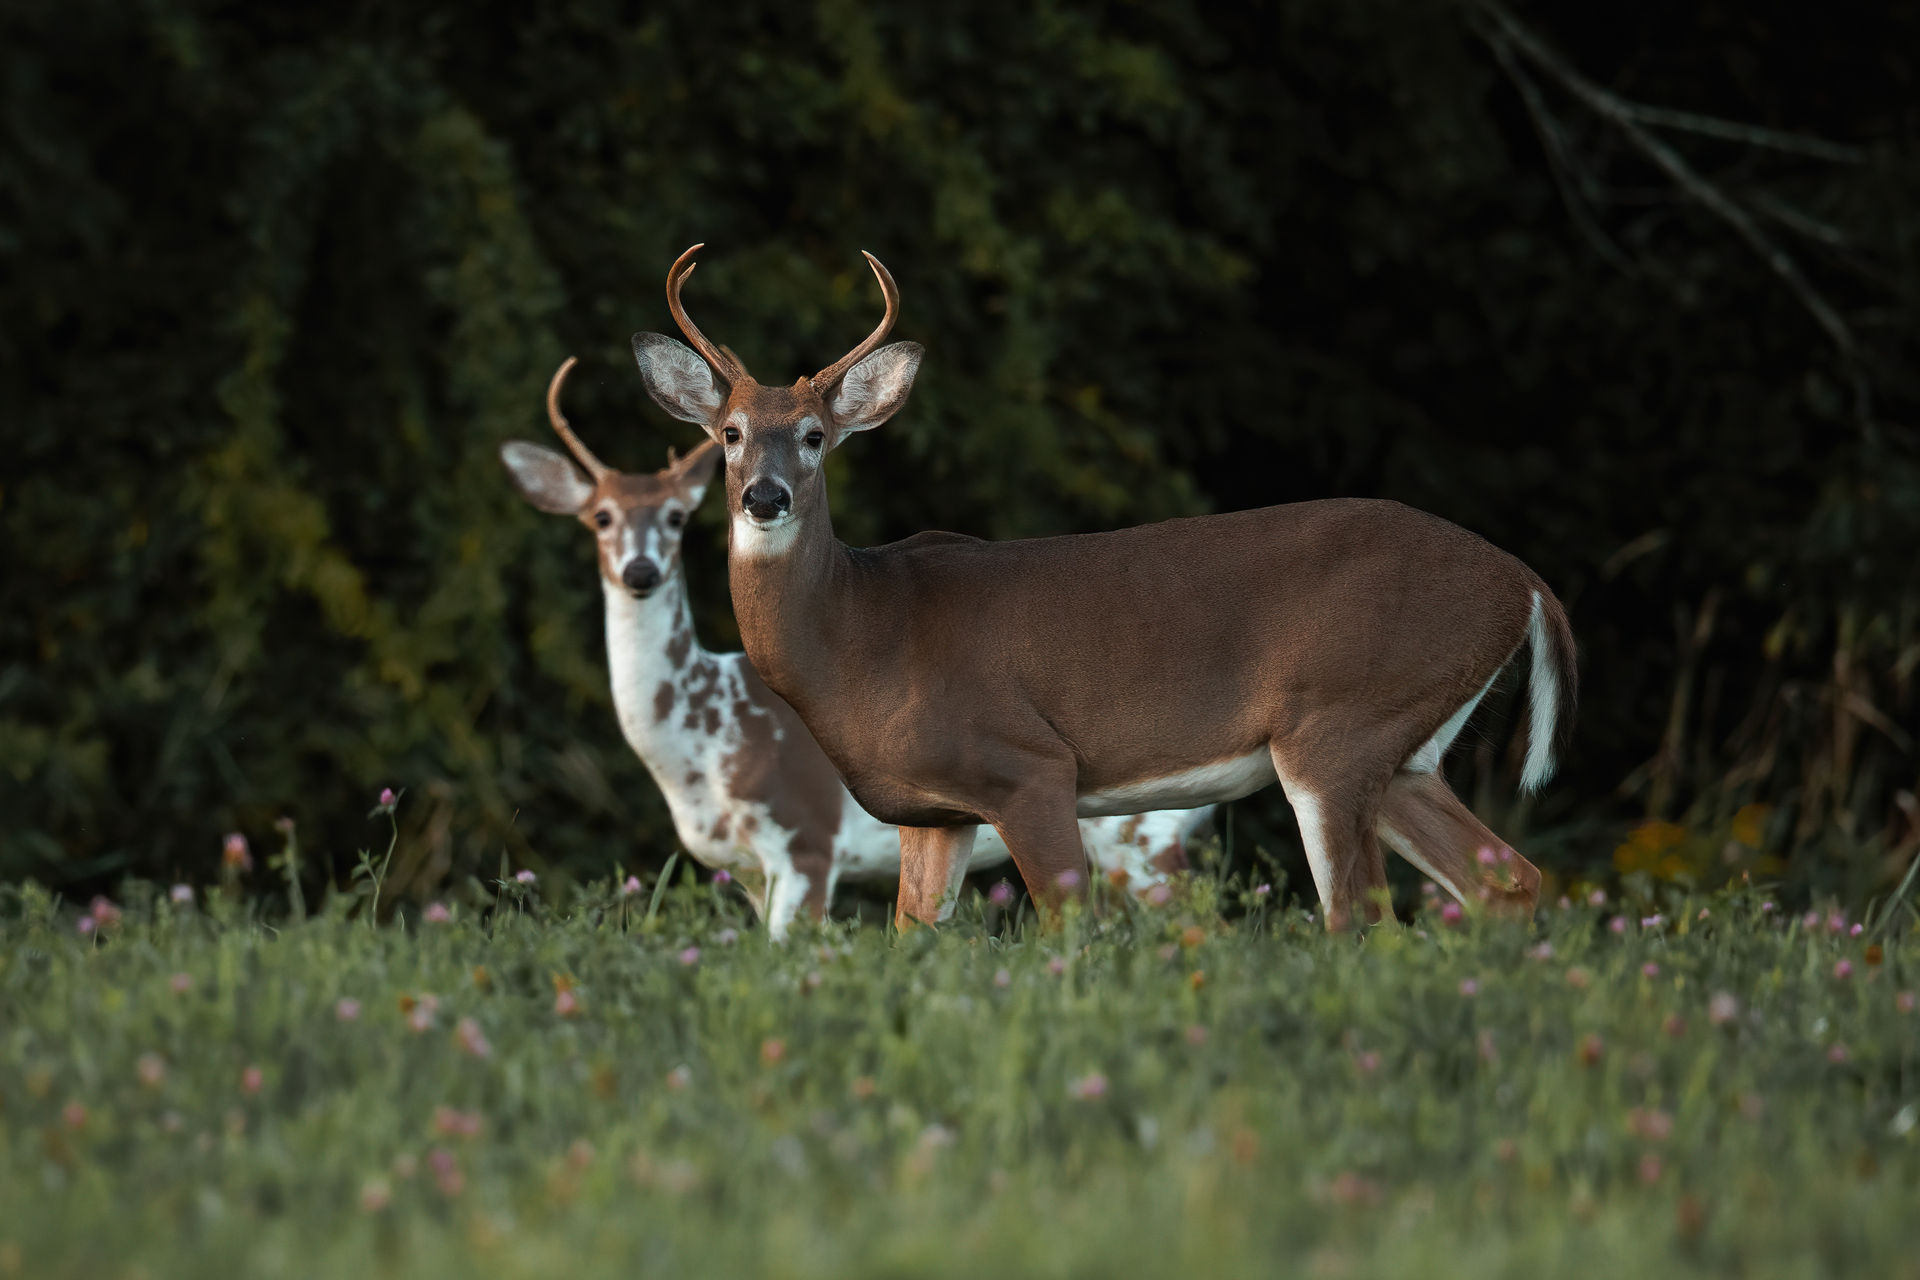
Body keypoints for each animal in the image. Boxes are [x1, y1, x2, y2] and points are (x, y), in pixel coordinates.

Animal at [499, 360, 1213, 940]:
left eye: (676, 517)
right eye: (601, 517)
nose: (641, 572)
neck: (700, 745)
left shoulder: (805, 844)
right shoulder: (748, 871)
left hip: (1140, 833)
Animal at [629, 245, 1574, 936]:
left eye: (816, 435)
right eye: (730, 433)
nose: (765, 497)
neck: (862, 634)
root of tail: (1527, 583)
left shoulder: (1029, 764)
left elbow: (1068, 930)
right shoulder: (933, 812)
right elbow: (911, 937)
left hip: (1339, 726)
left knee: (1361, 921)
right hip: (1404, 751)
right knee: (1510, 881)